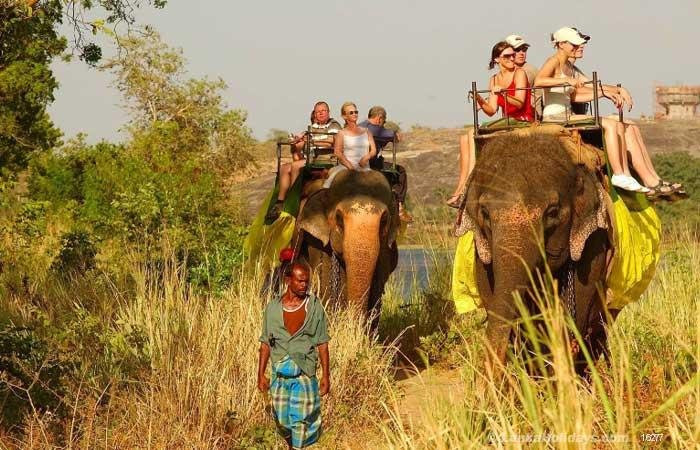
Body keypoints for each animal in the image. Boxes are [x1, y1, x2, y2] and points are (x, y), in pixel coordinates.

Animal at [293, 169, 400, 330]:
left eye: (383, 220)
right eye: (338, 218)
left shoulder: (385, 250)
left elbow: (377, 289)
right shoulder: (317, 244)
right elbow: (326, 286)